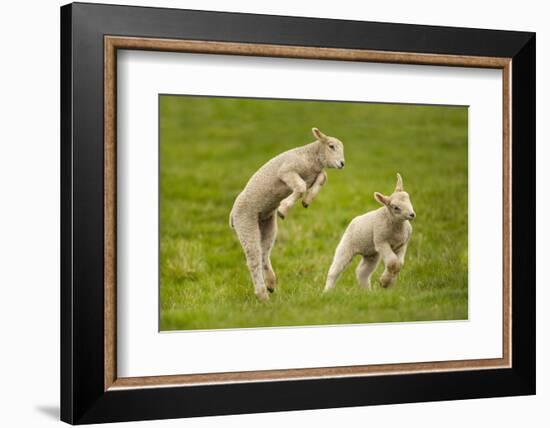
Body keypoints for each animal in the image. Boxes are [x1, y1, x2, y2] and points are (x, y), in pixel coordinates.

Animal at [232, 129, 344, 300]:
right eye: (331, 146)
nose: (342, 163)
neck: (310, 157)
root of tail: (232, 215)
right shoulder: (286, 171)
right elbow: (301, 186)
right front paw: (283, 208)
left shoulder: (315, 173)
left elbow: (322, 178)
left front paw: (307, 201)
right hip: (245, 222)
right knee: (253, 259)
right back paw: (262, 295)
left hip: (267, 223)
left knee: (264, 254)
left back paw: (271, 284)